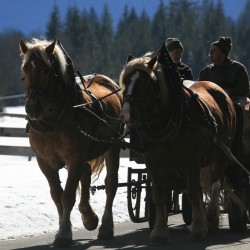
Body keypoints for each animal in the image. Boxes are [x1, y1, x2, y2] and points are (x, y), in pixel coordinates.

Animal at [19, 38, 123, 247]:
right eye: (24, 70)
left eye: (46, 71)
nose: (32, 108)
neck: (53, 123)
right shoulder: (44, 162)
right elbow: (56, 195)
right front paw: (64, 227)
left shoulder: (74, 158)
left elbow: (67, 196)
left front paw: (64, 234)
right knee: (86, 173)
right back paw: (88, 216)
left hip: (113, 146)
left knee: (111, 184)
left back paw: (106, 227)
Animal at [119, 46, 246, 245]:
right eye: (125, 81)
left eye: (145, 82)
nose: (126, 114)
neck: (171, 119)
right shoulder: (154, 161)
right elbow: (159, 194)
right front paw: (159, 232)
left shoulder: (192, 161)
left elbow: (194, 192)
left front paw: (199, 229)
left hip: (221, 155)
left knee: (216, 185)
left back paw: (211, 221)